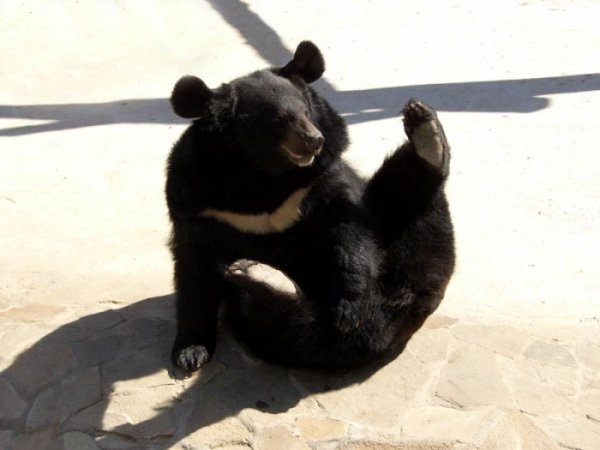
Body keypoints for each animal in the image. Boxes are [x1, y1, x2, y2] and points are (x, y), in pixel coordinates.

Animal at [166, 41, 455, 372]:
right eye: (277, 120)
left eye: (305, 111)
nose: (314, 140)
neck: (264, 177)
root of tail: (385, 328)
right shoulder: (198, 203)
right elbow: (193, 270)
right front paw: (190, 354)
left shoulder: (319, 180)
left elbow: (349, 230)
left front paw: (348, 310)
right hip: (272, 329)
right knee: (286, 325)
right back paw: (255, 273)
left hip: (413, 255)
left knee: (410, 206)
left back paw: (426, 134)